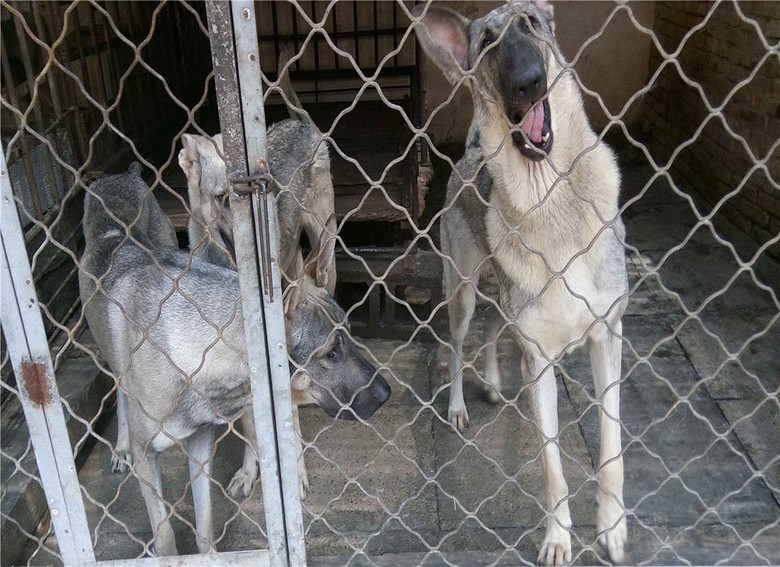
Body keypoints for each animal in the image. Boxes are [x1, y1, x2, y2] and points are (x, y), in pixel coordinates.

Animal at [79, 163, 390, 556]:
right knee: (119, 392)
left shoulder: (200, 443)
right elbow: (164, 535)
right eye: (331, 353)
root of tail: (118, 176)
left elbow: (205, 524)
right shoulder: (148, 460)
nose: (386, 394)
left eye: (349, 334)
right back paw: (120, 447)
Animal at [414, 2, 628, 564]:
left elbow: (612, 448)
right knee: (458, 344)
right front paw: (557, 539)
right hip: (464, 292)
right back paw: (459, 406)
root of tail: (468, 153)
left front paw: (612, 527)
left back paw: (491, 383)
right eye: (486, 43)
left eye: (531, 23)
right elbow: (553, 469)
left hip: (502, 298)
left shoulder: (607, 336)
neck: (549, 201)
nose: (527, 83)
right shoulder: (539, 359)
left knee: (492, 331)